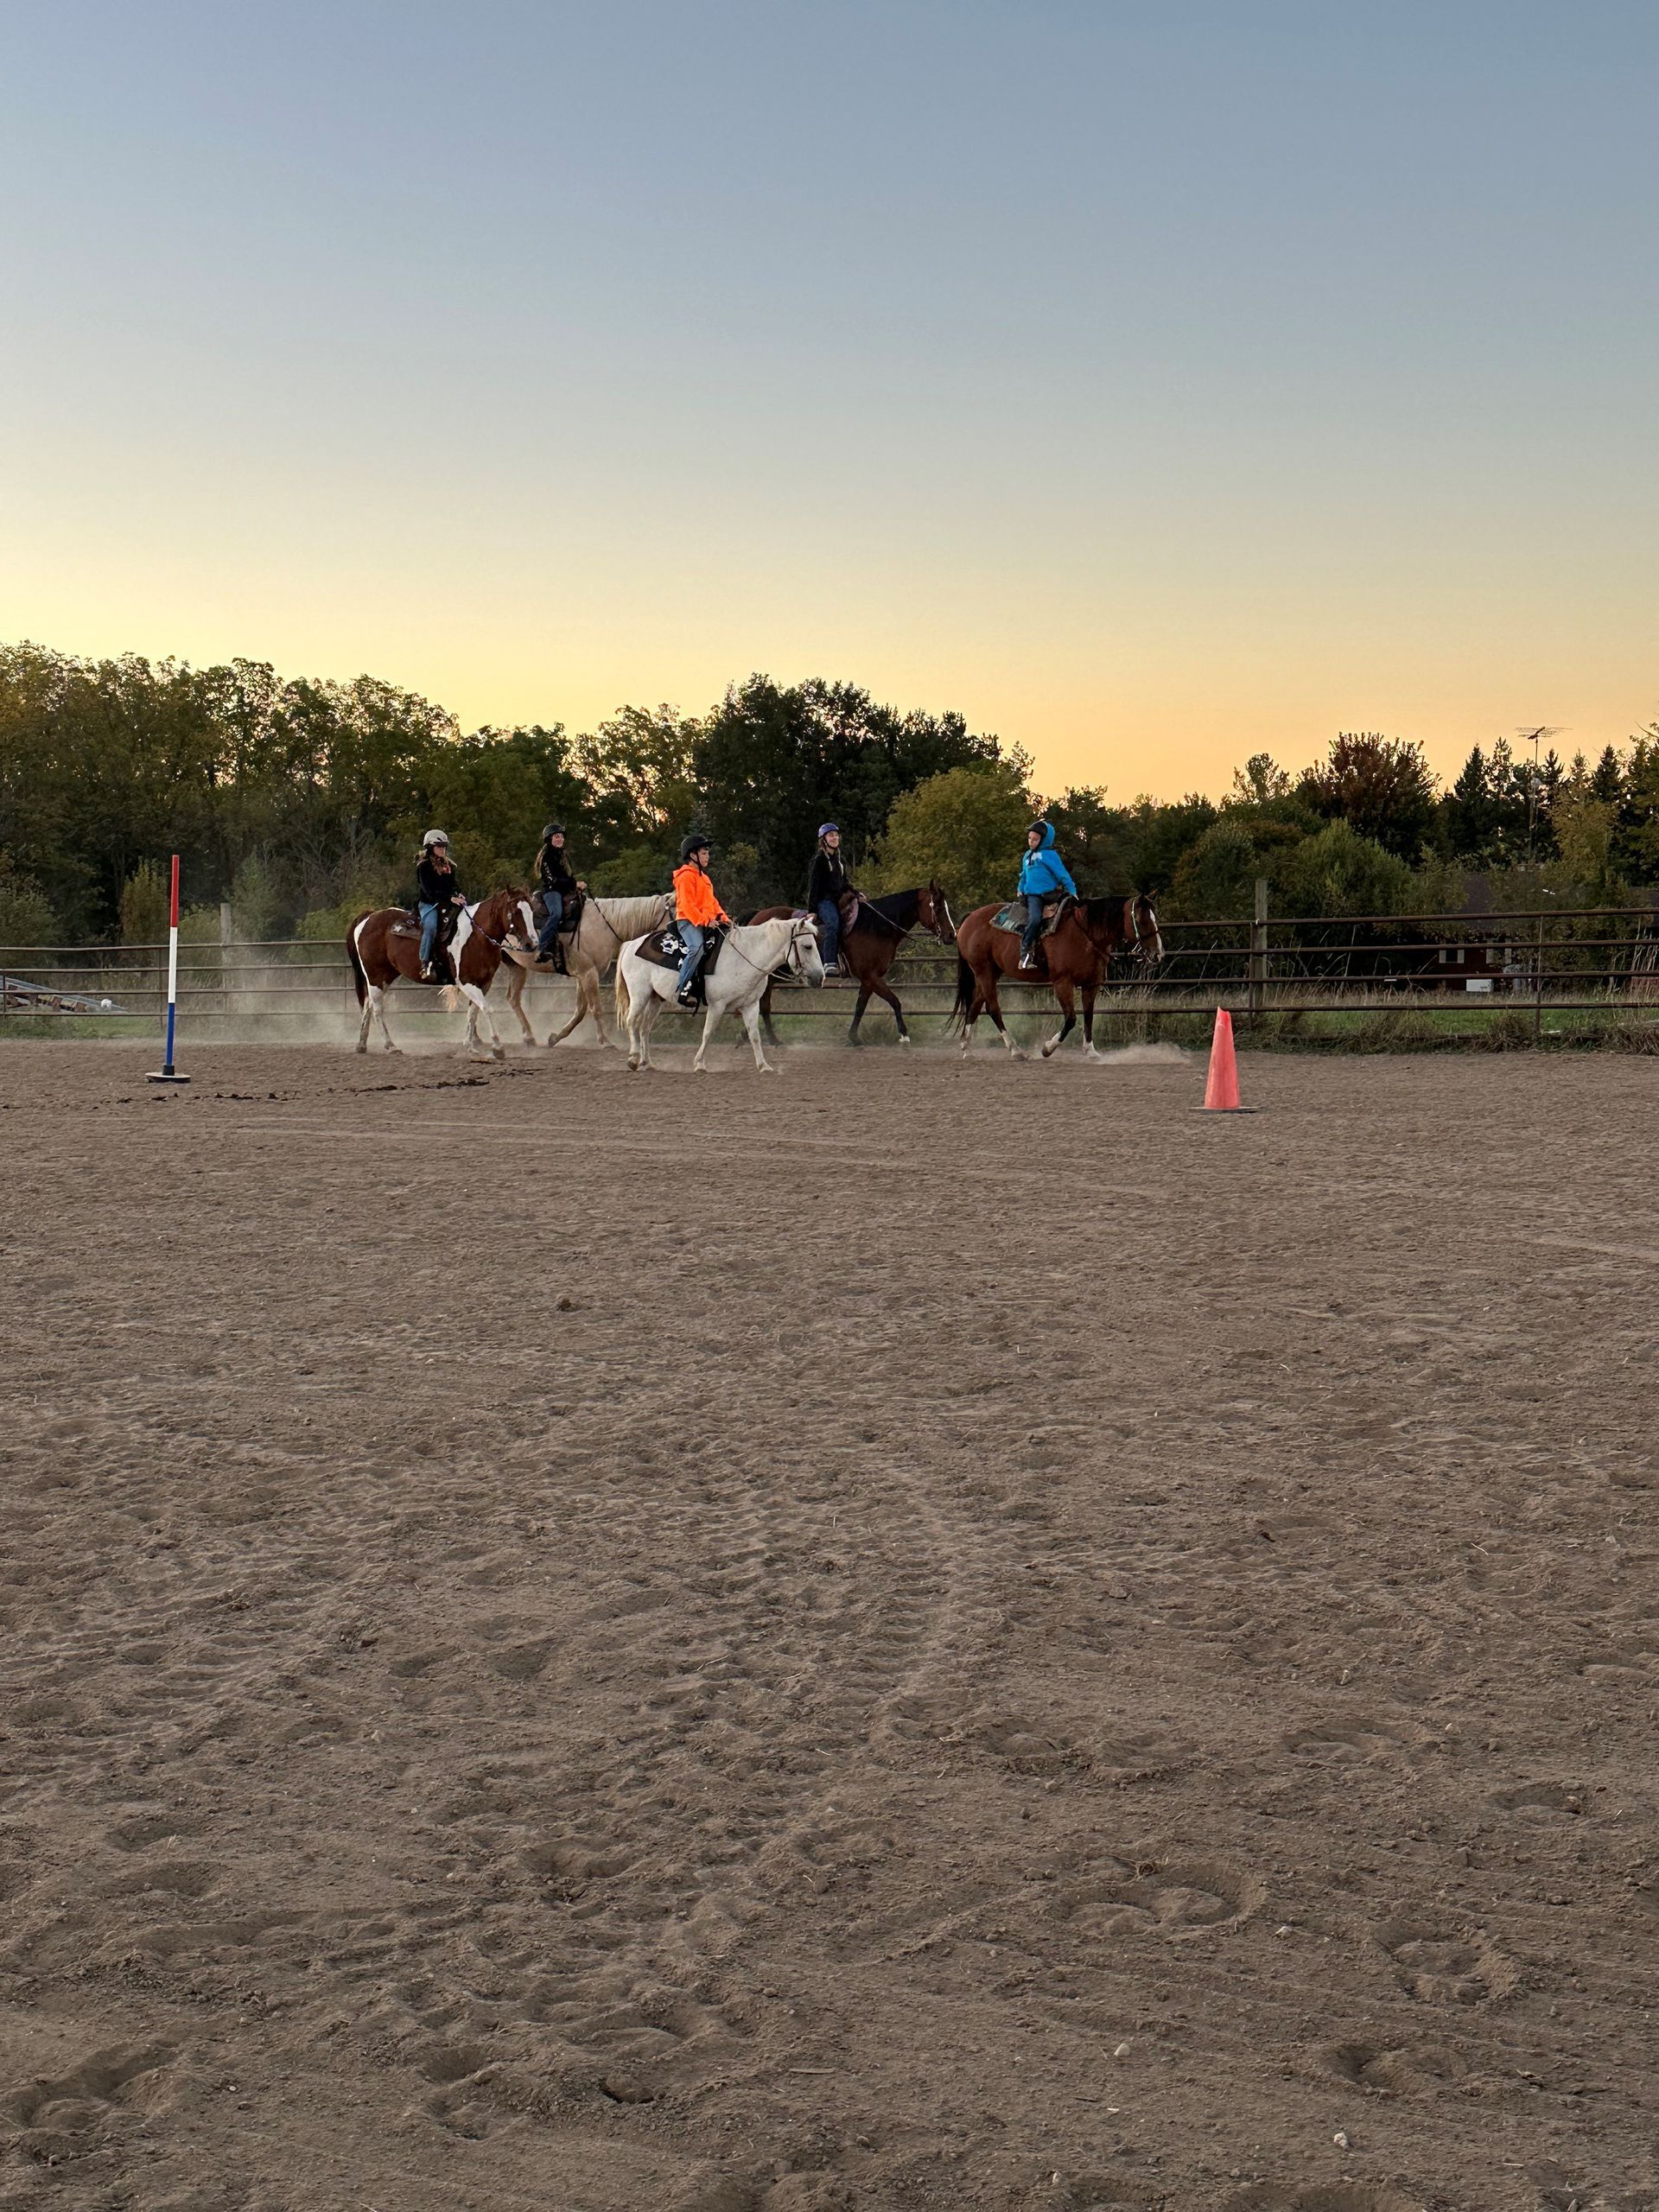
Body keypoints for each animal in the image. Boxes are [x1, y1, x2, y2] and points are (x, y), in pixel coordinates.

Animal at [347, 889, 539, 1060]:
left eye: (531, 910)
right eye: (516, 912)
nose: (533, 943)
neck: (477, 936)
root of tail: (368, 917)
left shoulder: (484, 983)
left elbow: (473, 1013)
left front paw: (470, 1047)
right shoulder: (466, 982)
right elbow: (487, 1008)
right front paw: (498, 1047)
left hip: (385, 976)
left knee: (368, 1005)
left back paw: (362, 1044)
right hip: (375, 976)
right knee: (377, 1008)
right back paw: (391, 1046)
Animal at [497, 893, 672, 1049]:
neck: (604, 926)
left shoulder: (583, 975)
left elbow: (580, 1011)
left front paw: (555, 1038)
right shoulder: (588, 974)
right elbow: (596, 1008)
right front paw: (605, 1042)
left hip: (516, 966)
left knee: (513, 999)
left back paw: (529, 1037)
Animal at [616, 915, 825, 1074]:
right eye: (807, 946)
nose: (820, 977)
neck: (745, 957)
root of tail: (632, 944)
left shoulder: (750, 1005)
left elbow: (754, 1035)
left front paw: (763, 1066)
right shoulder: (718, 1005)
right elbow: (708, 1033)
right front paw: (699, 1063)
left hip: (655, 998)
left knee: (644, 1028)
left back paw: (648, 1063)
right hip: (639, 994)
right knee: (631, 1022)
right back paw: (633, 1059)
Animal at [748, 883, 957, 1047]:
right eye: (938, 907)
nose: (951, 935)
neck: (876, 926)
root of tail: (758, 915)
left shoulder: (869, 979)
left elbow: (860, 1006)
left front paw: (854, 1038)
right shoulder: (871, 976)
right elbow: (894, 1001)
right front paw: (904, 1035)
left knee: (762, 1004)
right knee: (763, 1004)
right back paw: (772, 1040)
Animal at [950, 893, 1163, 1061]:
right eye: (1143, 920)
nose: (1159, 953)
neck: (1085, 933)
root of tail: (970, 918)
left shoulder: (1091, 985)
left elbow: (1088, 1016)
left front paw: (1091, 1051)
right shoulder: (1062, 983)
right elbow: (1071, 1019)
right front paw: (1047, 1049)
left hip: (990, 972)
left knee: (975, 1005)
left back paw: (967, 1048)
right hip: (984, 971)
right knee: (993, 1009)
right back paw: (1016, 1051)